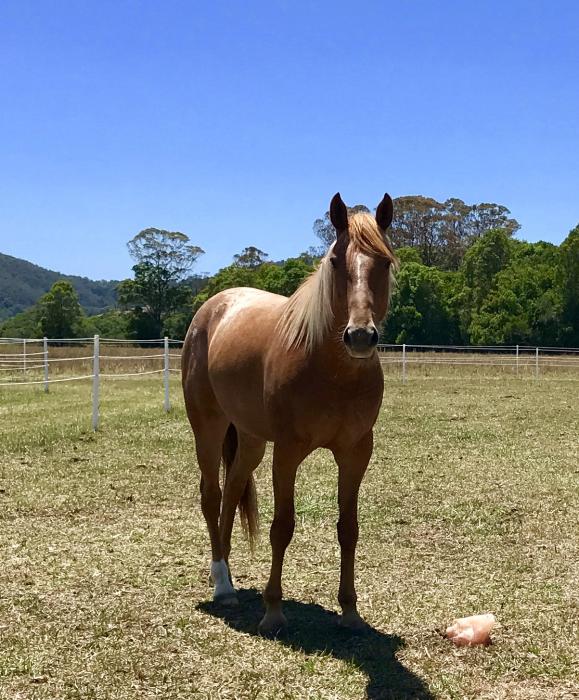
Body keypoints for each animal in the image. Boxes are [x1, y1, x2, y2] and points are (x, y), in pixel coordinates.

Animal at [181, 192, 397, 635]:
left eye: (384, 262)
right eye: (336, 261)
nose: (360, 336)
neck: (331, 371)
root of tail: (214, 306)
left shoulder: (356, 453)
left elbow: (348, 528)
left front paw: (350, 611)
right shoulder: (287, 452)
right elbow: (282, 527)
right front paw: (273, 611)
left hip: (249, 440)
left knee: (232, 491)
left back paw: (227, 574)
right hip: (208, 428)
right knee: (212, 495)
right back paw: (222, 586)